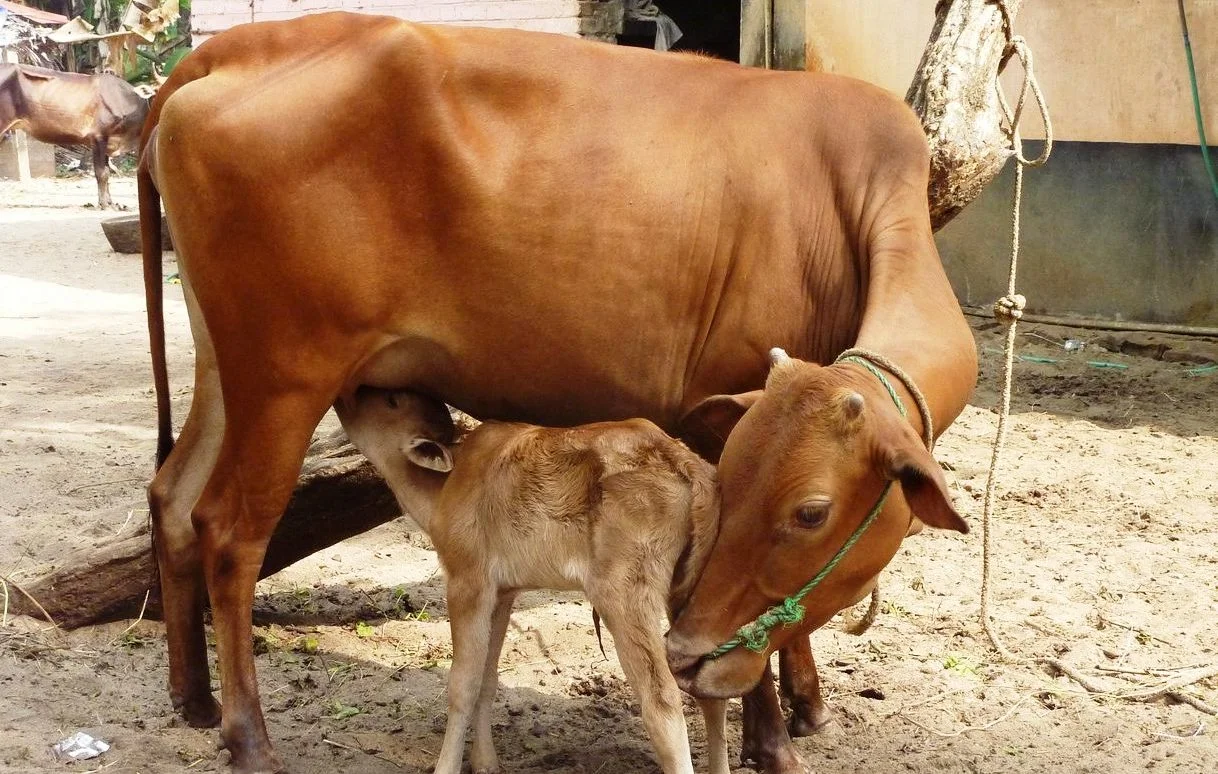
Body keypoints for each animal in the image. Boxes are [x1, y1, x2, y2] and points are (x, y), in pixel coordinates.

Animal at [0, 63, 147, 207]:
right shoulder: (98, 137)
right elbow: (102, 173)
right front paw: (104, 204)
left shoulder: (108, 141)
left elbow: (107, 171)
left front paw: (111, 202)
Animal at [336, 390, 721, 774]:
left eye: (391, 400)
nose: (347, 395)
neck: (445, 489)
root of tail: (683, 460)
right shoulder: (503, 592)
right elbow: (488, 678)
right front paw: (486, 762)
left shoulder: (467, 580)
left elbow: (463, 683)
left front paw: (448, 765)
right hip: (688, 588)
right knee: (709, 685)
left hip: (624, 591)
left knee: (662, 699)